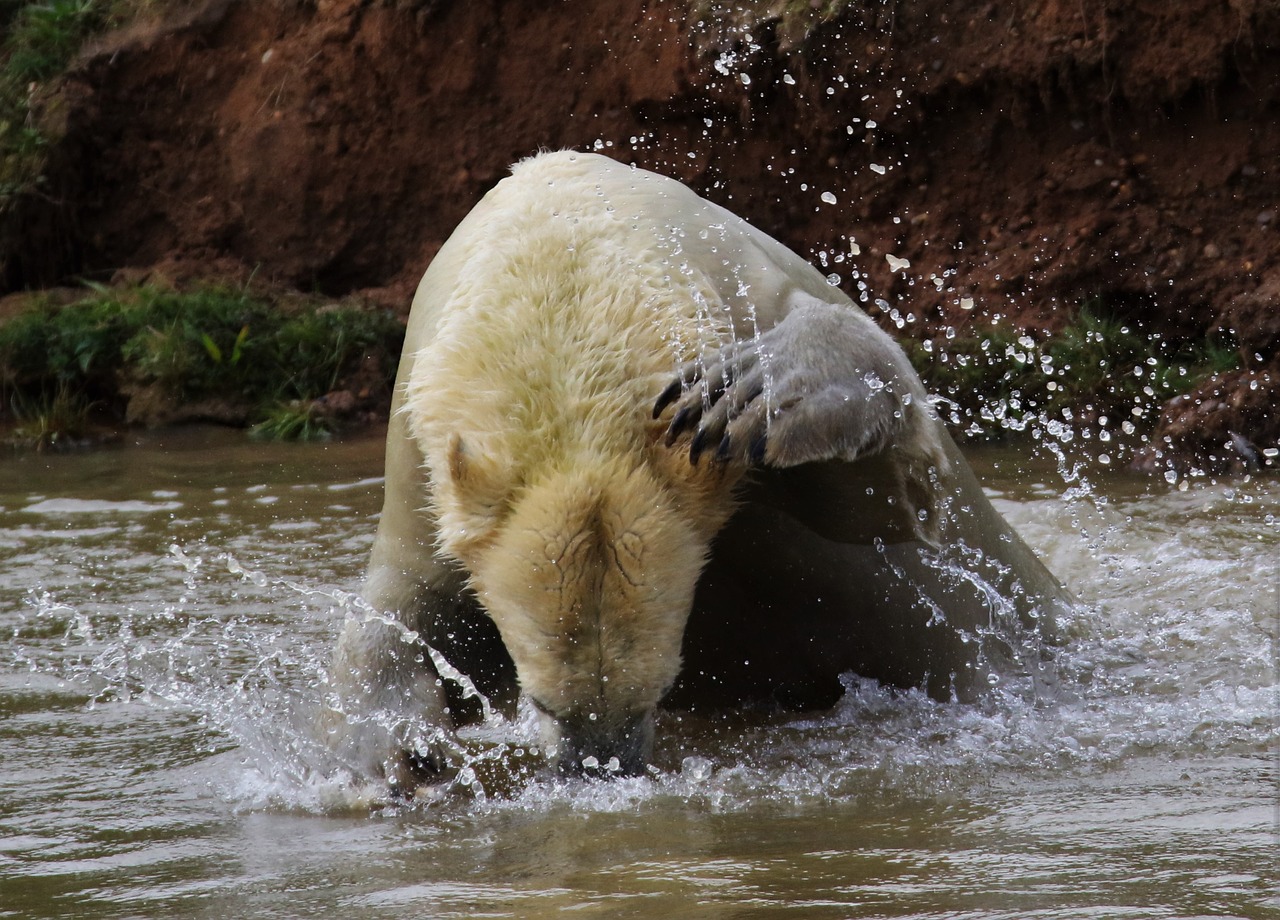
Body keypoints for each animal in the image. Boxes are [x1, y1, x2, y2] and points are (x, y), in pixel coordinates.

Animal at [330, 150, 1070, 793]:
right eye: (544, 704)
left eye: (655, 694)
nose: (601, 769)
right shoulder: (422, 440)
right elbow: (411, 602)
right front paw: (397, 758)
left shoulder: (748, 288)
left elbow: (896, 503)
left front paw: (761, 389)